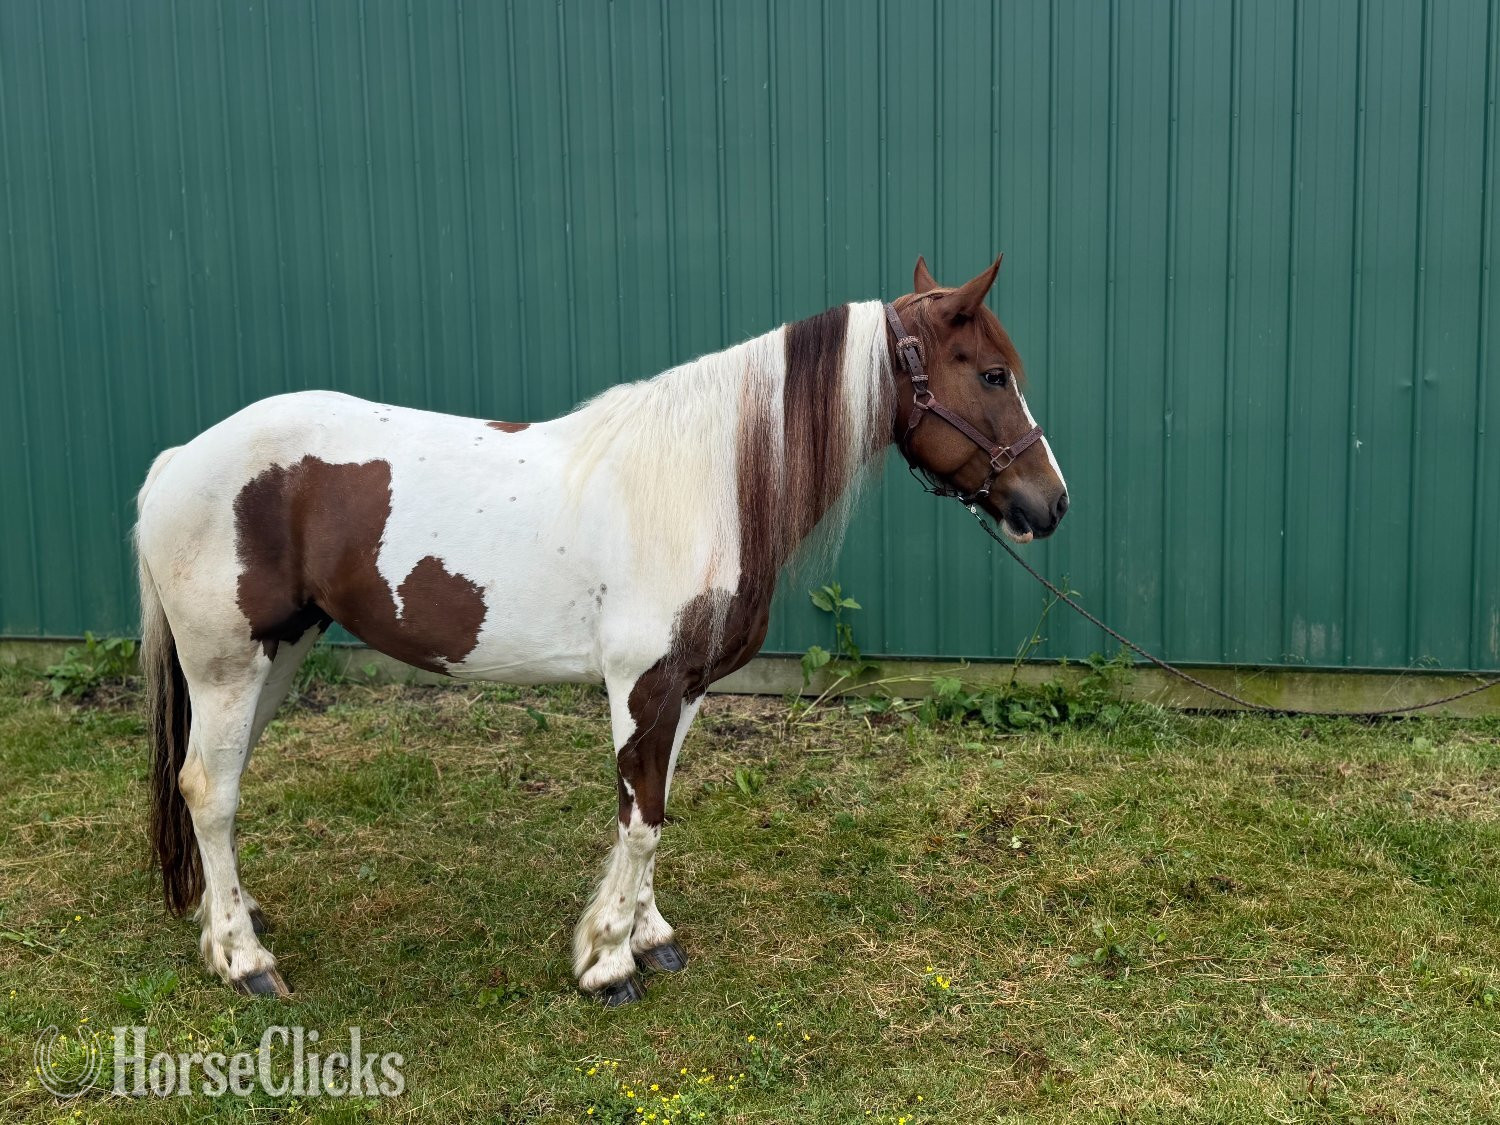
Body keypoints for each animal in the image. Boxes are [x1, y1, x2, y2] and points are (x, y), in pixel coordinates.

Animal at [133, 255, 1069, 1006]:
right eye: (992, 375)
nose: (1050, 503)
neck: (705, 482)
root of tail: (178, 459)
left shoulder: (684, 689)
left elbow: (654, 810)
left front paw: (650, 938)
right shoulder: (639, 684)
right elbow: (640, 818)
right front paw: (608, 963)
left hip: (279, 654)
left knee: (219, 783)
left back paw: (234, 918)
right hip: (227, 663)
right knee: (210, 792)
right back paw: (244, 959)